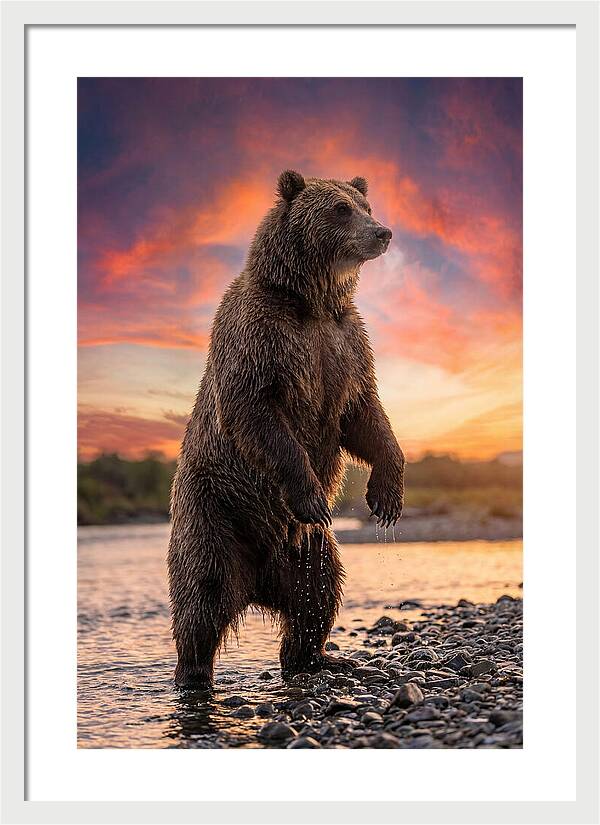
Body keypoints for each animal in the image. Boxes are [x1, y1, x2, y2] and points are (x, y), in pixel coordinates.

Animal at [168, 170, 405, 688]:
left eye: (366, 204)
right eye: (340, 209)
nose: (382, 232)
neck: (311, 302)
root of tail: (257, 582)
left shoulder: (345, 345)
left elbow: (365, 415)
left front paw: (386, 497)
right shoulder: (261, 338)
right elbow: (258, 413)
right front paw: (314, 495)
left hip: (307, 550)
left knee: (318, 592)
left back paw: (319, 657)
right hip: (215, 511)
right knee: (202, 594)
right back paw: (193, 675)